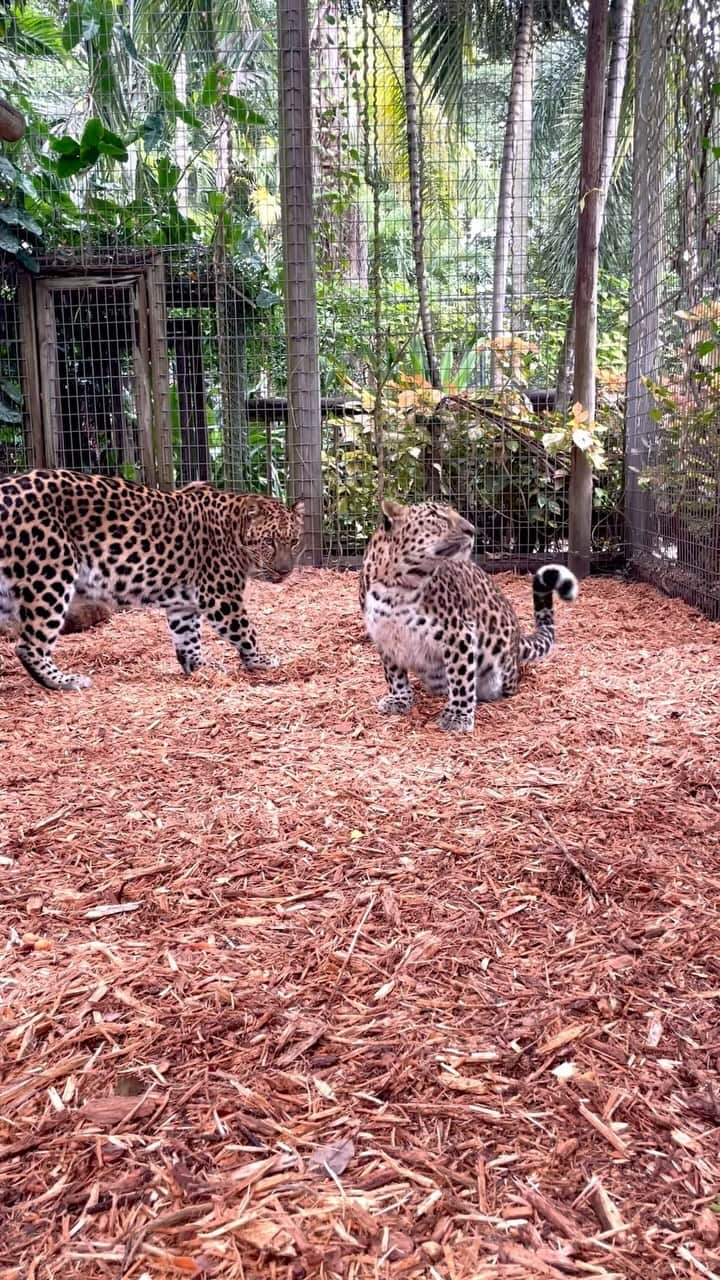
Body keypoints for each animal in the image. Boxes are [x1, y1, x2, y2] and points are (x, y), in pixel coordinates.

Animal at [0, 471, 302, 691]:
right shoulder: (220, 596)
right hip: (50, 575)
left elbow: (187, 637)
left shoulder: (185, 602)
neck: (234, 529)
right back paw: (64, 681)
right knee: (29, 645)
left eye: (294, 541)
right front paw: (261, 660)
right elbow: (246, 630)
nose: (285, 571)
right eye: (269, 542)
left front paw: (199, 667)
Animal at [358, 501, 576, 742]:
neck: (396, 586)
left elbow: (460, 677)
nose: (472, 530)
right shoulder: (384, 635)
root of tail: (517, 639)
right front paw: (398, 699)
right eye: (437, 516)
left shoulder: (458, 632)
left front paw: (458, 716)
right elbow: (394, 675)